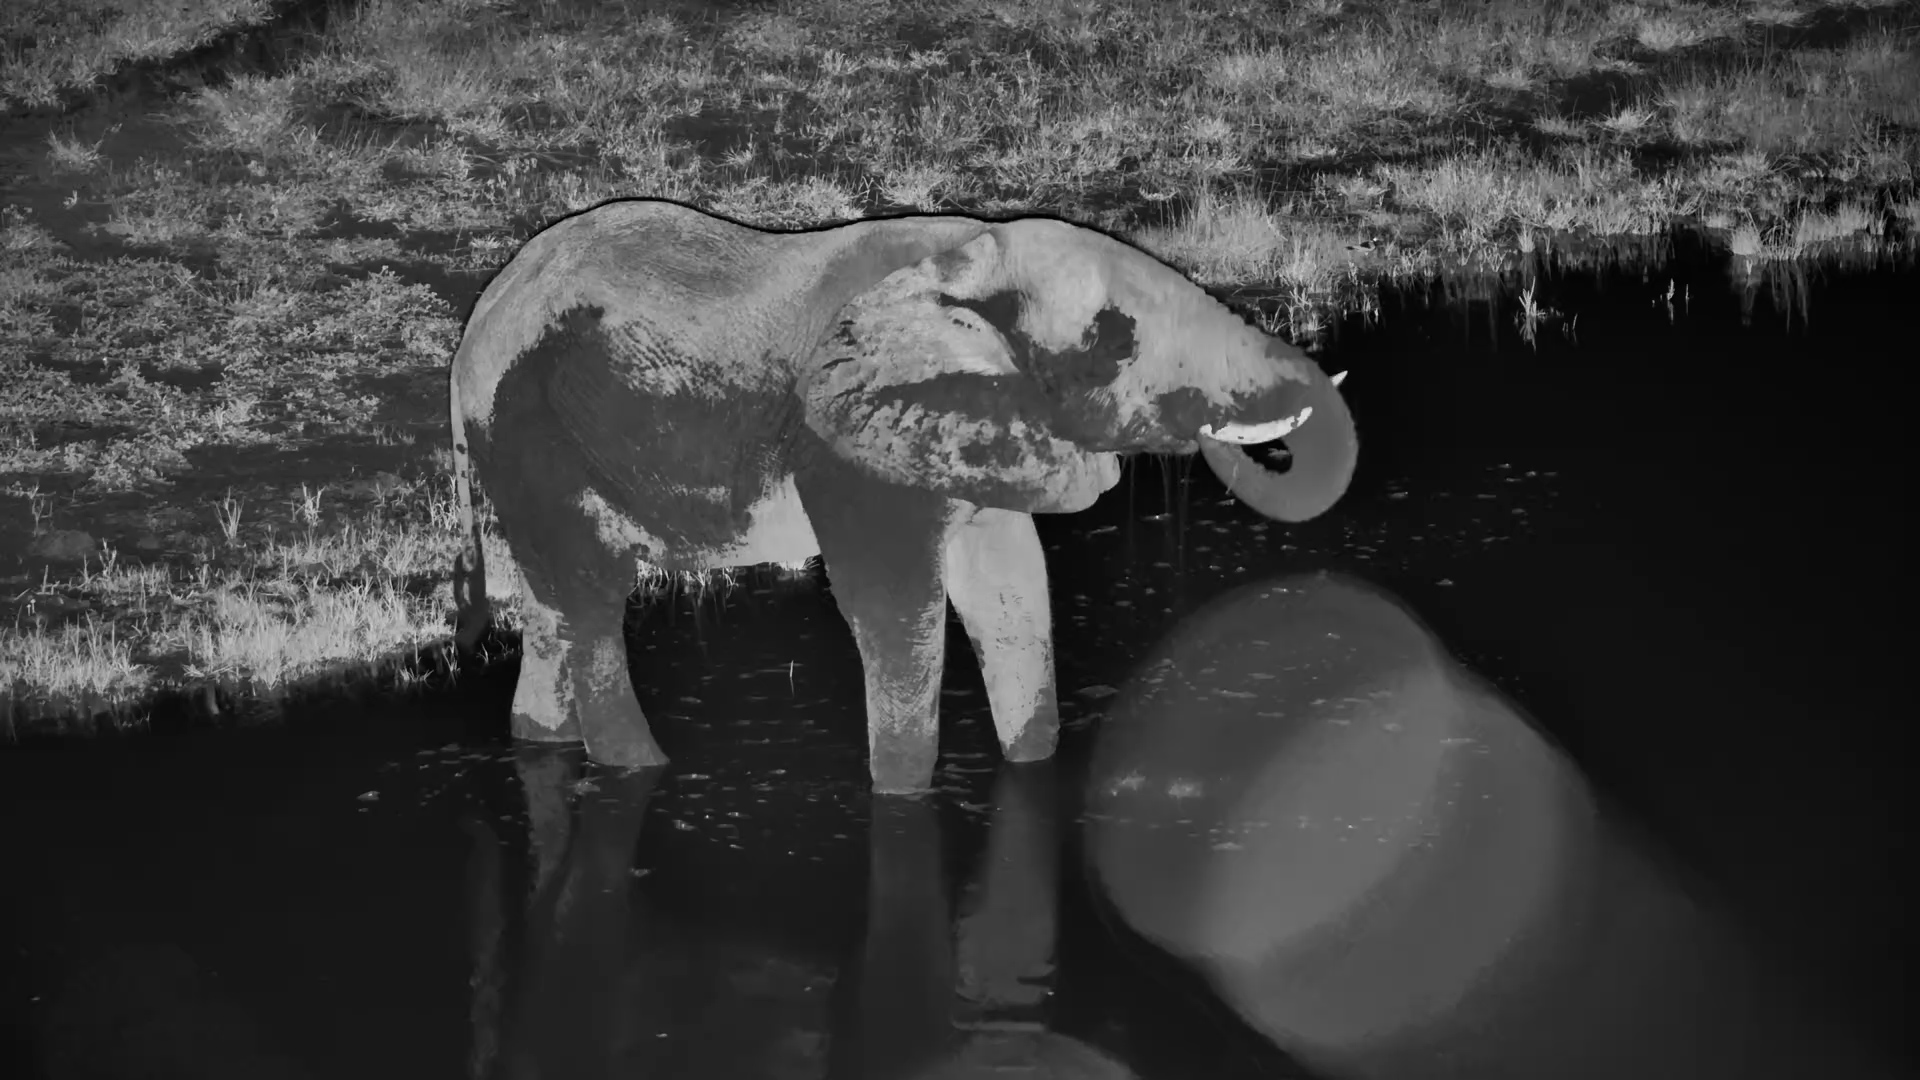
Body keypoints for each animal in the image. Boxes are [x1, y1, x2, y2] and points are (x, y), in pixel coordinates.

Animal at [448, 197, 1358, 794]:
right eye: (1115, 339)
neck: (966, 253)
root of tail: (471, 333)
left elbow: (1011, 589)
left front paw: (1031, 770)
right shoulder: (843, 446)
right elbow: (895, 606)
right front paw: (902, 795)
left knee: (553, 611)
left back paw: (541, 746)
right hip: (530, 434)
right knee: (592, 599)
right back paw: (646, 775)